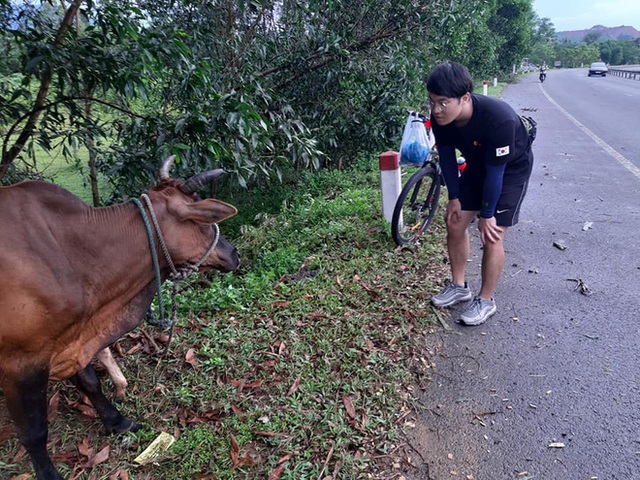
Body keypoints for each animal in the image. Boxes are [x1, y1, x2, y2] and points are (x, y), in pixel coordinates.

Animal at [0, 156, 239, 478]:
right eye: (201, 221)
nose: (234, 254)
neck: (70, 254)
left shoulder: (71, 339)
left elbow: (90, 382)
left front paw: (117, 421)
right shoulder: (22, 363)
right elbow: (34, 430)